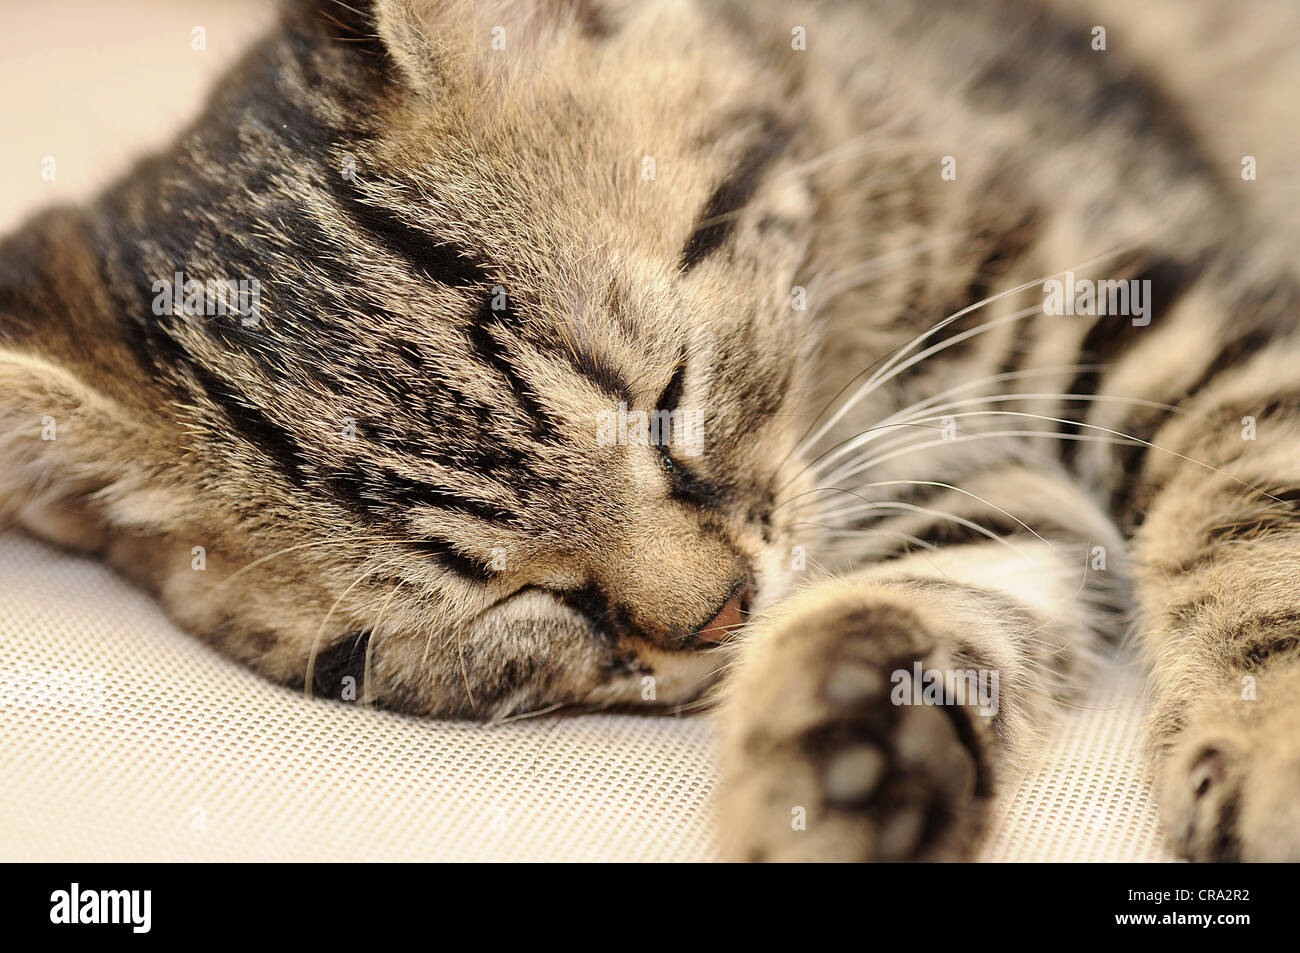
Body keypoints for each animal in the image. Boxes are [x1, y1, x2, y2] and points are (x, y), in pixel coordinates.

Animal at [2, 0, 1300, 863]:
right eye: (513, 597)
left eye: (666, 395)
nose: (718, 616)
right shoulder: (973, 500)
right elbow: (927, 600)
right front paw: (843, 763)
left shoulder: (1168, 306)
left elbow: (1259, 518)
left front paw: (1270, 754)